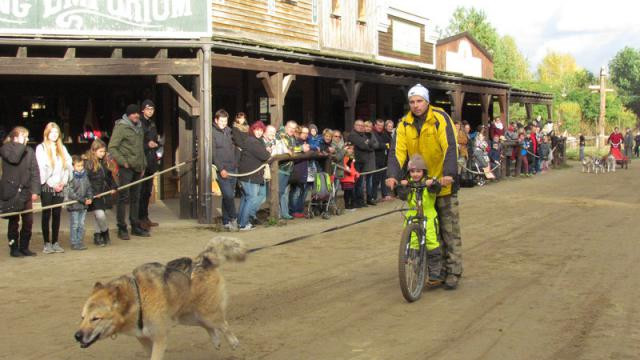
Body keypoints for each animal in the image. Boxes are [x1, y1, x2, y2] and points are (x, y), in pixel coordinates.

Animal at [74, 236, 246, 360]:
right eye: (82, 317)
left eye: (95, 318)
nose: (77, 336)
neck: (138, 299)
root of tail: (203, 260)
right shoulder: (144, 339)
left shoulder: (159, 338)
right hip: (188, 317)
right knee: (207, 326)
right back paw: (216, 340)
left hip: (207, 313)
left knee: (223, 324)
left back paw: (233, 342)